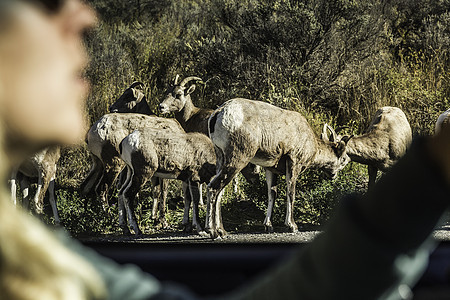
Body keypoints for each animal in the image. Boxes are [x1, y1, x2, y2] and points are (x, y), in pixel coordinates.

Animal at [207, 99, 352, 238]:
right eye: (344, 159)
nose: (333, 176)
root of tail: (218, 114)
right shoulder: (294, 162)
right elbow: (291, 192)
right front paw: (292, 226)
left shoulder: (270, 169)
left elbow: (272, 193)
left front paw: (268, 226)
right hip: (238, 158)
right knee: (213, 188)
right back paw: (213, 232)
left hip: (221, 157)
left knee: (220, 192)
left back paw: (222, 231)